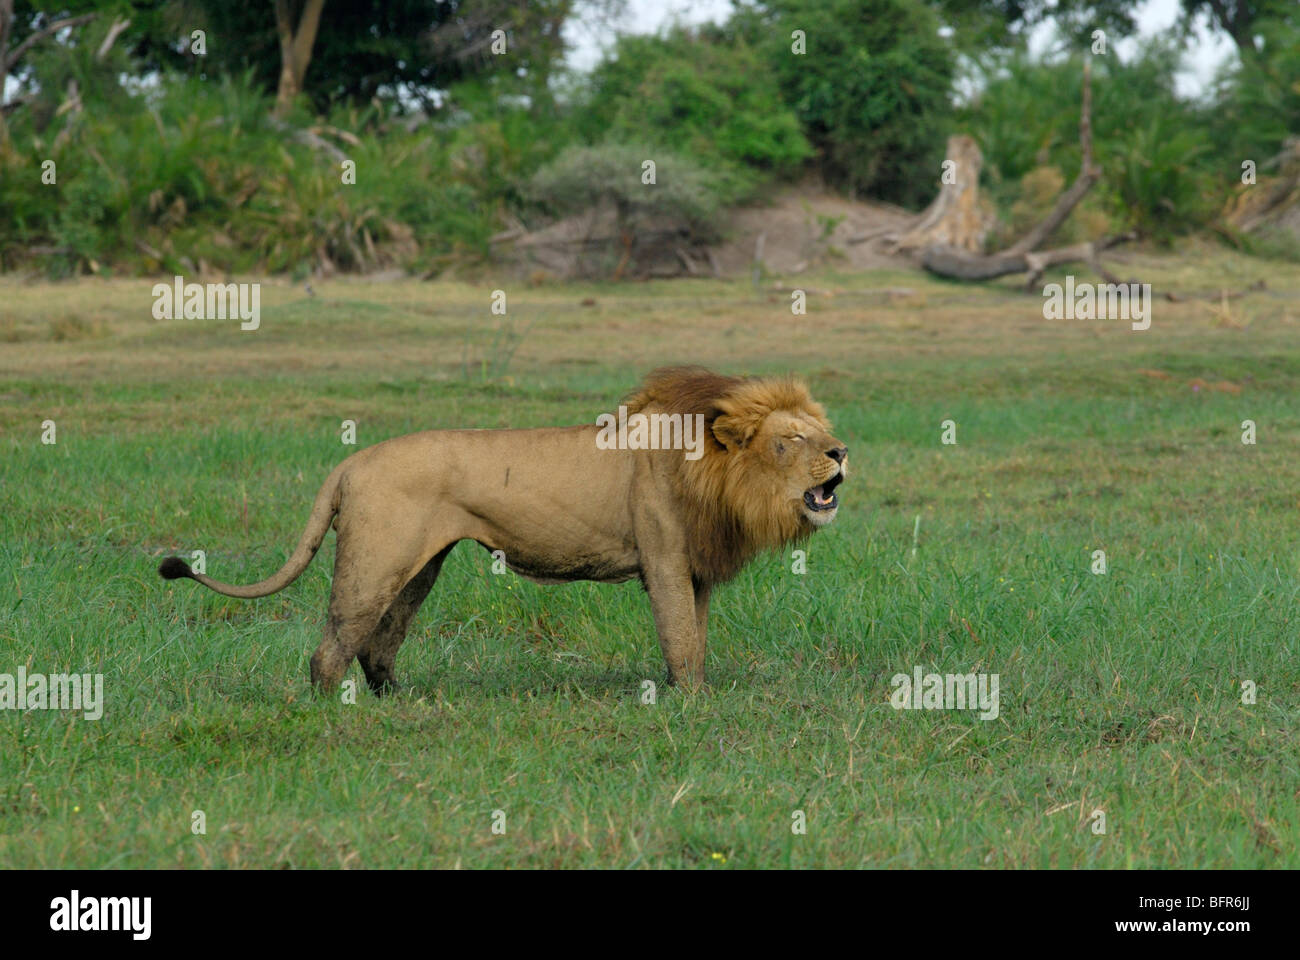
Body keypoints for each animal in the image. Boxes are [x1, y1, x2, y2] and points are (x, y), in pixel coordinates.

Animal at [157, 364, 847, 686]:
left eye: (821, 431)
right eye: (793, 438)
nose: (841, 452)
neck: (713, 472)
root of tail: (350, 462)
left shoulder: (697, 570)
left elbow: (697, 641)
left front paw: (698, 693)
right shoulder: (666, 562)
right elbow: (679, 641)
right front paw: (691, 706)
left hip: (418, 567)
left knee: (379, 644)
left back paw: (402, 702)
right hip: (374, 562)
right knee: (332, 649)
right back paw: (333, 713)